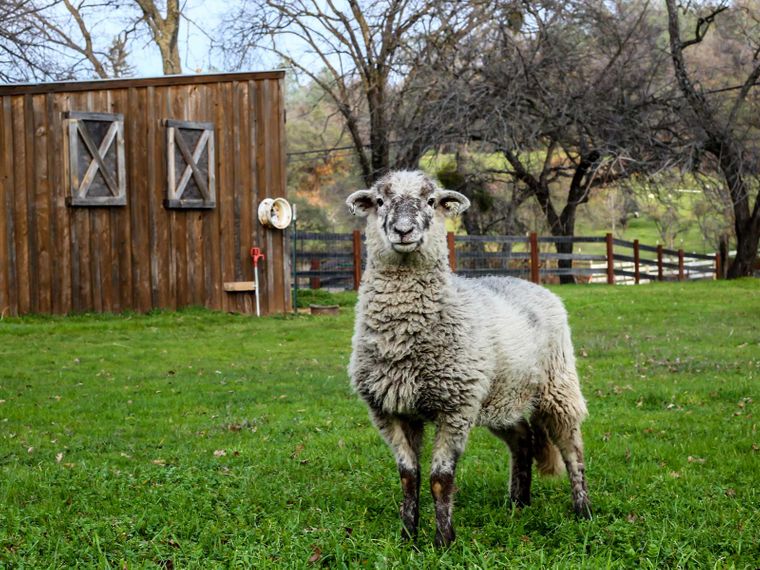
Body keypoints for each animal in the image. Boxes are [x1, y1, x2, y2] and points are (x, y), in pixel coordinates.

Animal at [346, 170, 591, 547]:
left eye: (431, 201)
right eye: (380, 201)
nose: (403, 231)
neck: (404, 340)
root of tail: (531, 283)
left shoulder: (455, 409)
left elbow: (440, 479)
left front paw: (443, 542)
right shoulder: (389, 411)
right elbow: (408, 476)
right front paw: (407, 537)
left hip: (557, 386)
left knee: (571, 448)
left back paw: (583, 510)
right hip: (501, 395)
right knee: (523, 440)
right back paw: (518, 503)